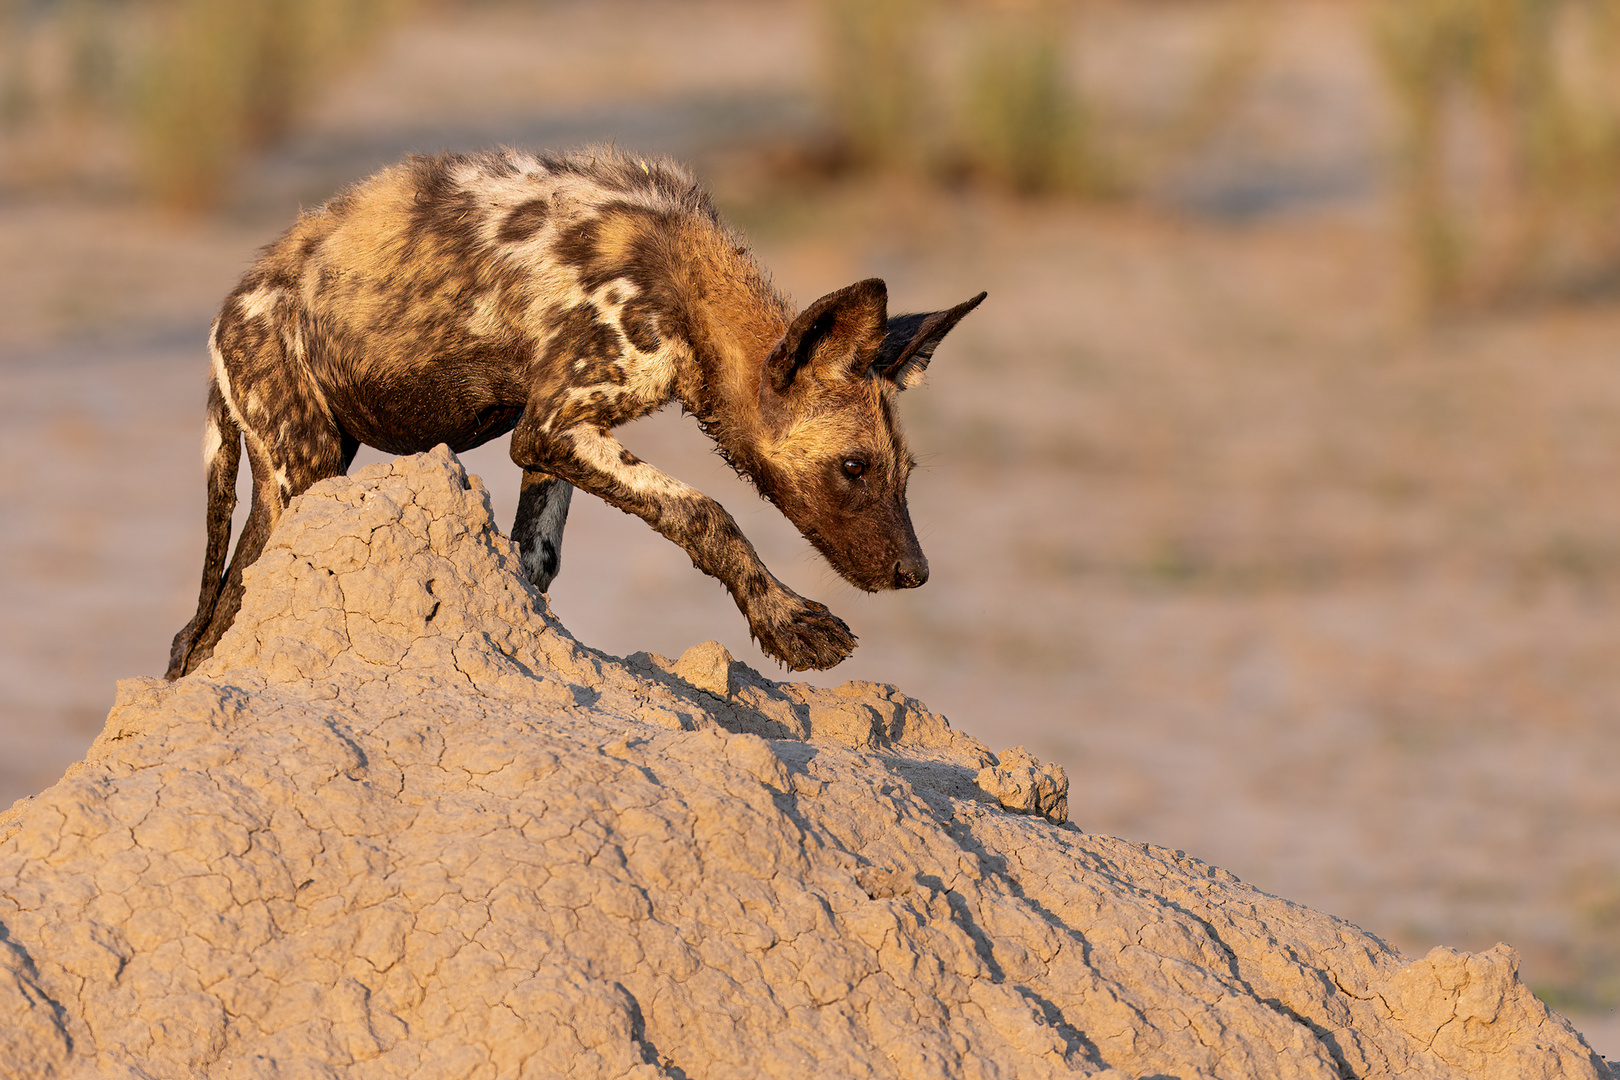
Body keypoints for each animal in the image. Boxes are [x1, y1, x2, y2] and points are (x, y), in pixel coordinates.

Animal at [164, 148, 978, 680]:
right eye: (854, 467)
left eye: (904, 474)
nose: (916, 572)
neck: (688, 291)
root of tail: (231, 308)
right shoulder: (554, 427)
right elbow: (708, 513)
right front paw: (789, 622)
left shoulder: (552, 436)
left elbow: (535, 558)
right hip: (304, 471)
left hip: (298, 479)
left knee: (203, 626)